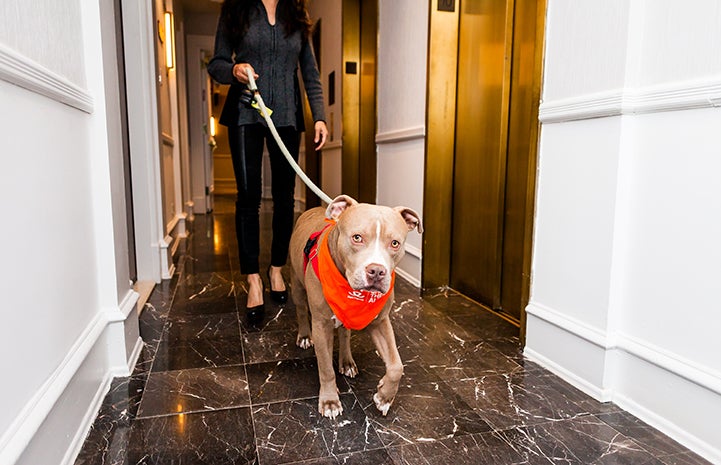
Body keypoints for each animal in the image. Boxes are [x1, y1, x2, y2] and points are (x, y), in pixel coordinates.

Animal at [286, 194, 422, 418]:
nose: (376, 271)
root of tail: (314, 209)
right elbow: (326, 368)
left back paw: (347, 361)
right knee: (301, 310)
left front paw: (384, 396)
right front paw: (330, 401)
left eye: (395, 243)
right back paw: (304, 336)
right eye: (357, 238)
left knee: (345, 333)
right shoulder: (321, 325)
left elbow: (396, 366)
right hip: (297, 286)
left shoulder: (380, 322)